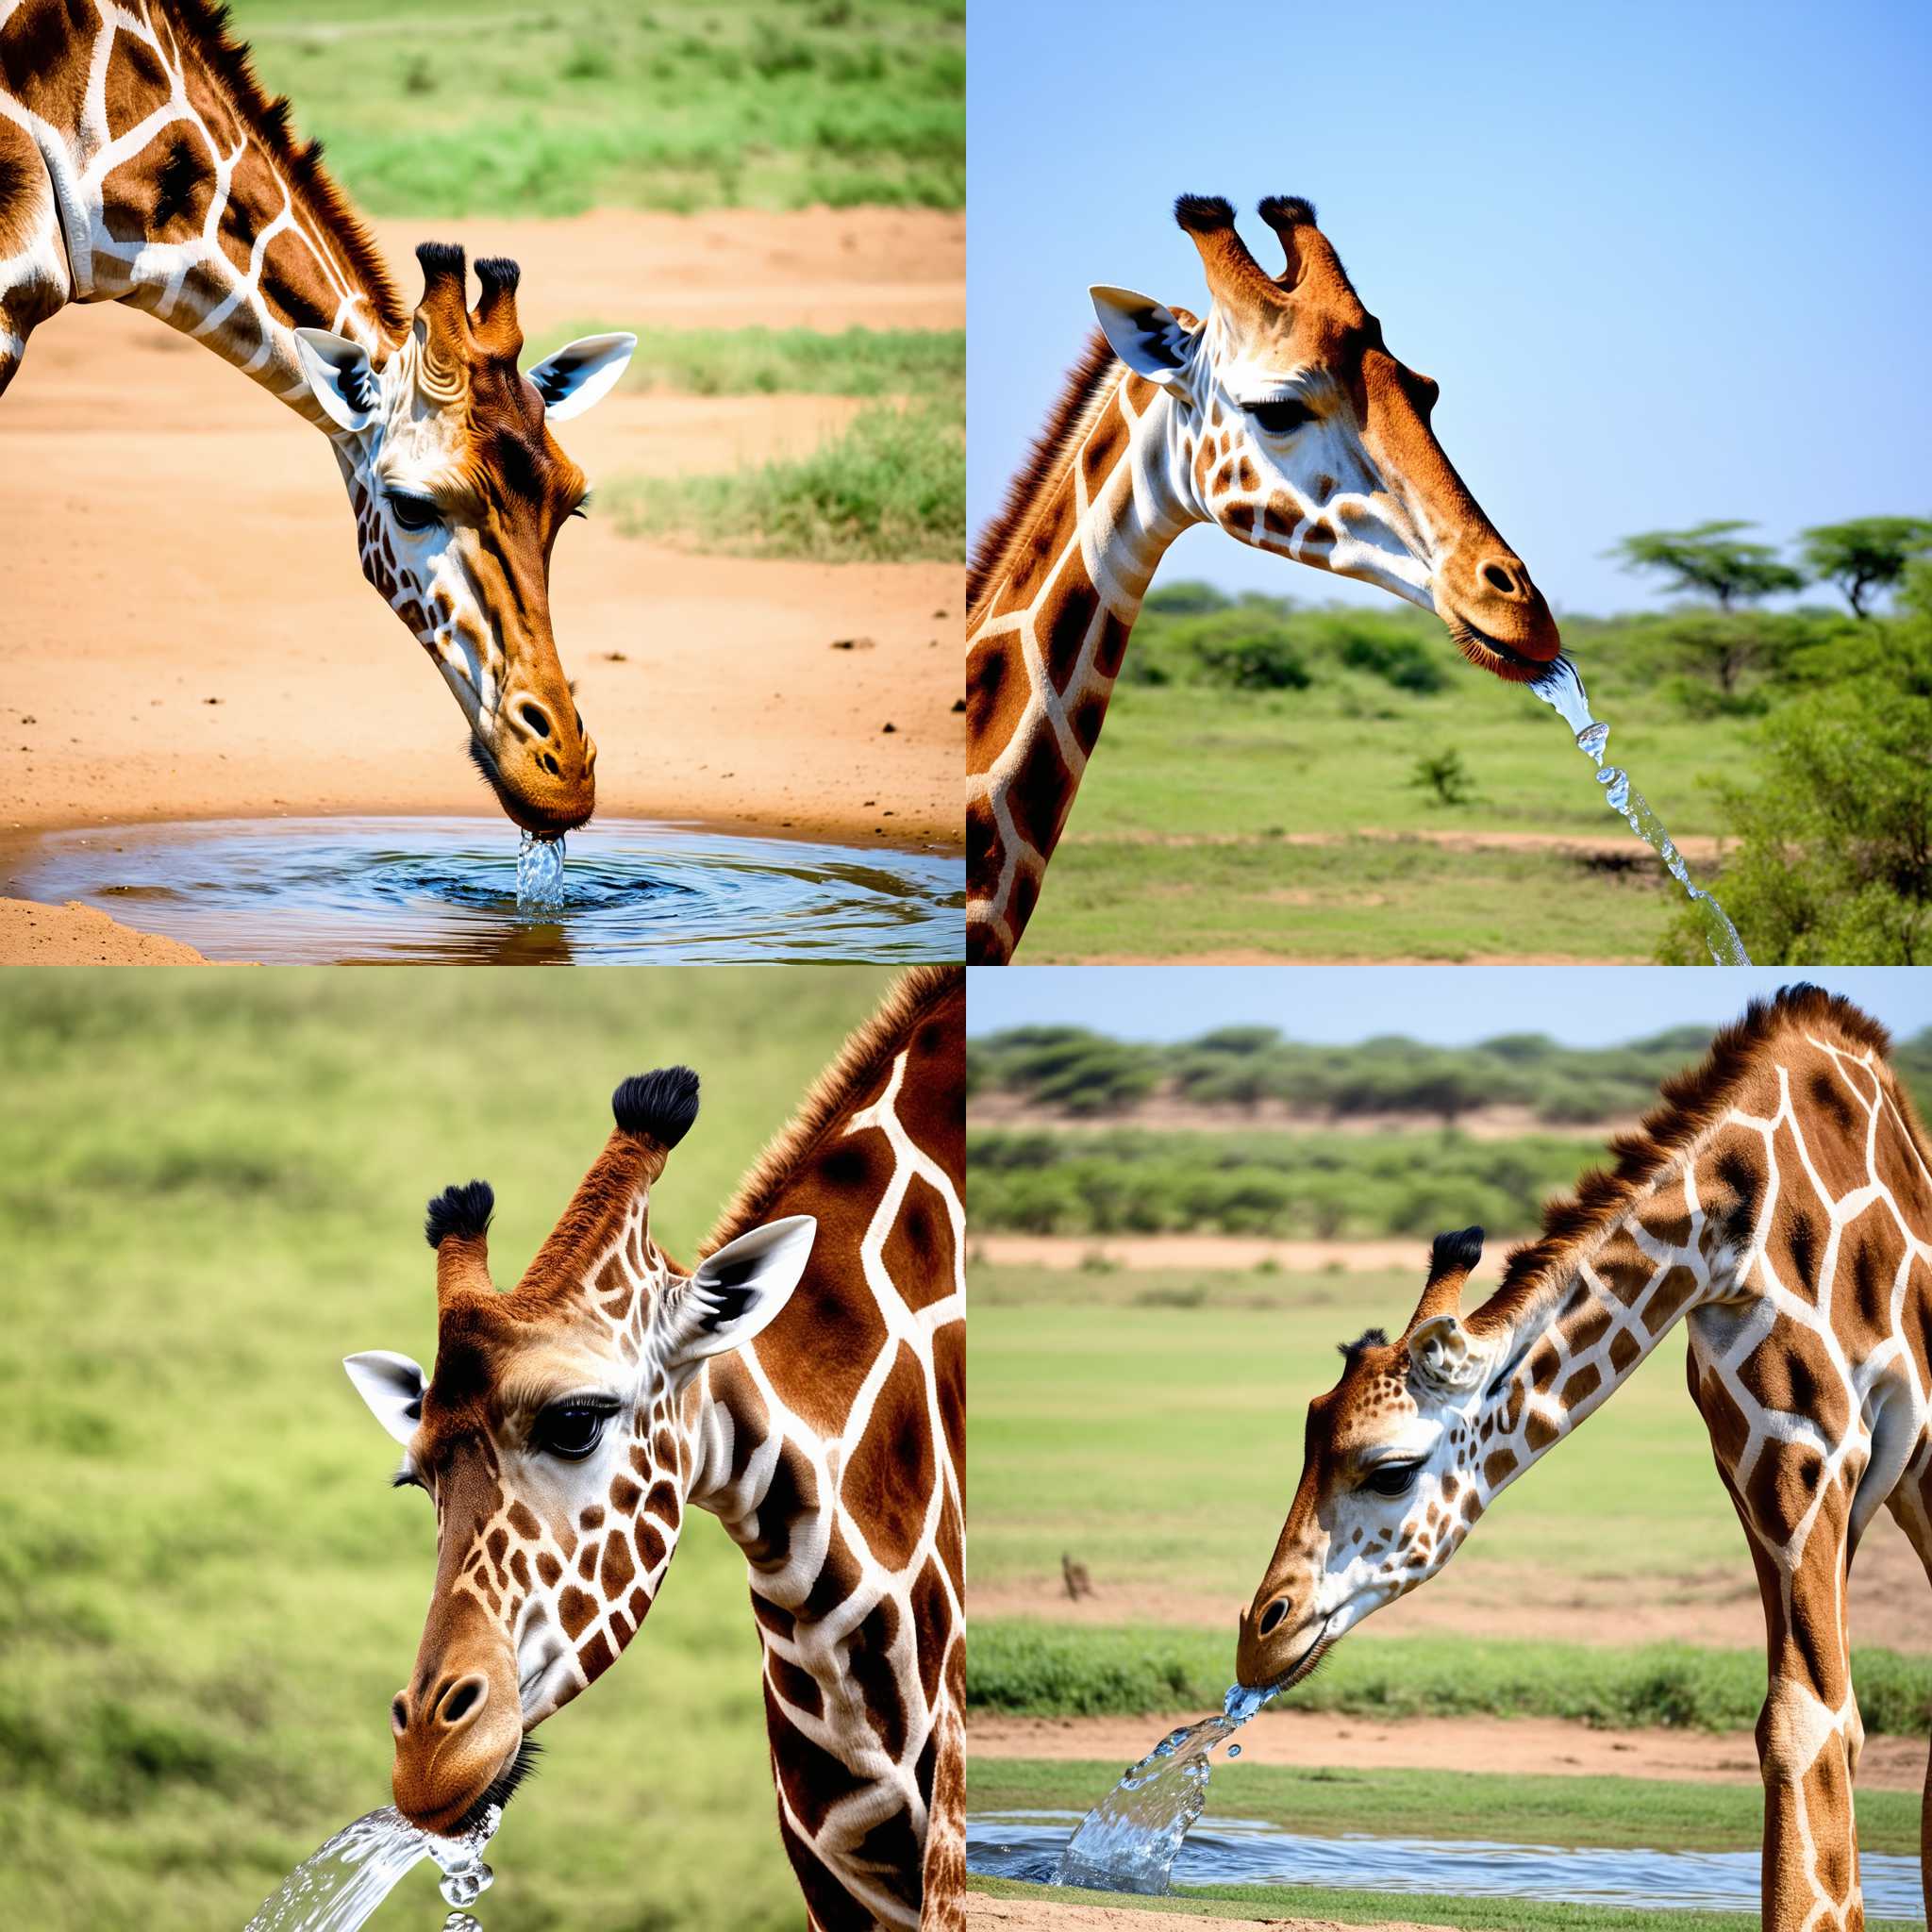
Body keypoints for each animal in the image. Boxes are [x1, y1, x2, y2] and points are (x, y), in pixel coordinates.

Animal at [1236, 989, 1932, 1924]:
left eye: (1389, 1471)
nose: (1259, 1638)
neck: (1738, 1226)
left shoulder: (1828, 1445)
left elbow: (1811, 1718)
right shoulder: (1764, 1458)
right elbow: (1807, 1714)